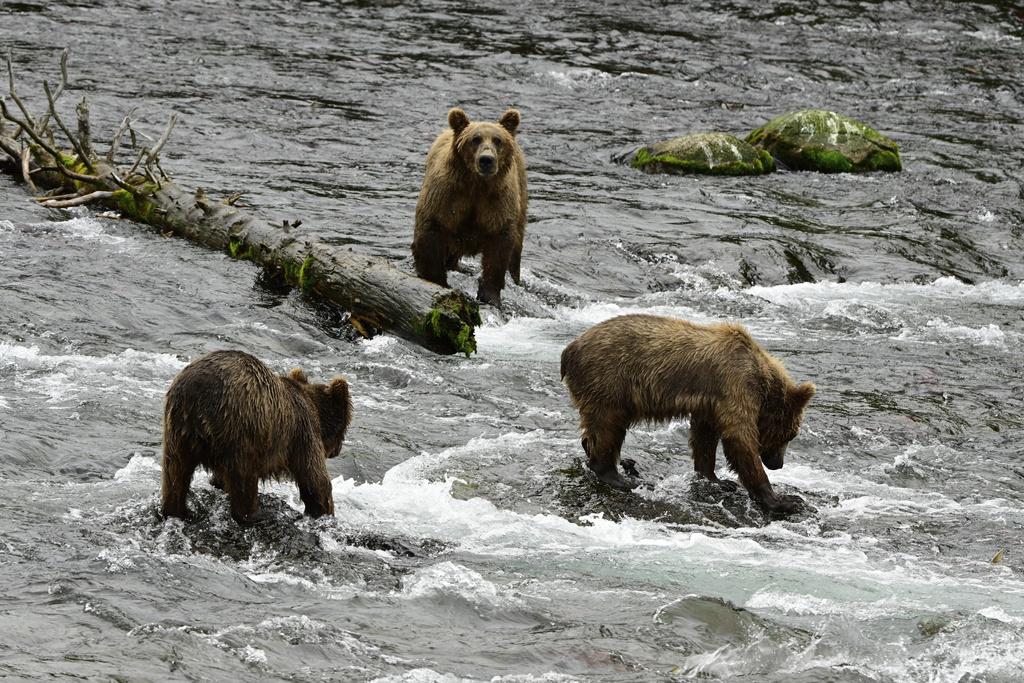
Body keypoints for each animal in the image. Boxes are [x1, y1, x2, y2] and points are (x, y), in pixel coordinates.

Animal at [160, 350, 352, 524]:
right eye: (346, 425)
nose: (337, 451)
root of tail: (197, 394)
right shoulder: (302, 432)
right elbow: (315, 478)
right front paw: (324, 512)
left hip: (177, 428)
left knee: (175, 472)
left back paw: (176, 511)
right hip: (243, 425)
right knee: (244, 477)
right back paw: (256, 515)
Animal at [412, 107, 528, 307]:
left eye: (497, 140)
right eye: (475, 139)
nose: (486, 160)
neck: (476, 184)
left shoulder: (497, 202)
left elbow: (499, 246)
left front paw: (490, 295)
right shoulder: (447, 196)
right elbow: (431, 230)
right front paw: (436, 281)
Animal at [559, 314, 815, 515]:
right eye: (791, 435)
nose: (778, 464)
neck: (762, 380)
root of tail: (569, 349)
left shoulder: (710, 404)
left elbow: (704, 439)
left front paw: (718, 481)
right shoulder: (735, 387)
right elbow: (739, 439)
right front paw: (785, 501)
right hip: (609, 381)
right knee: (608, 427)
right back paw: (620, 478)